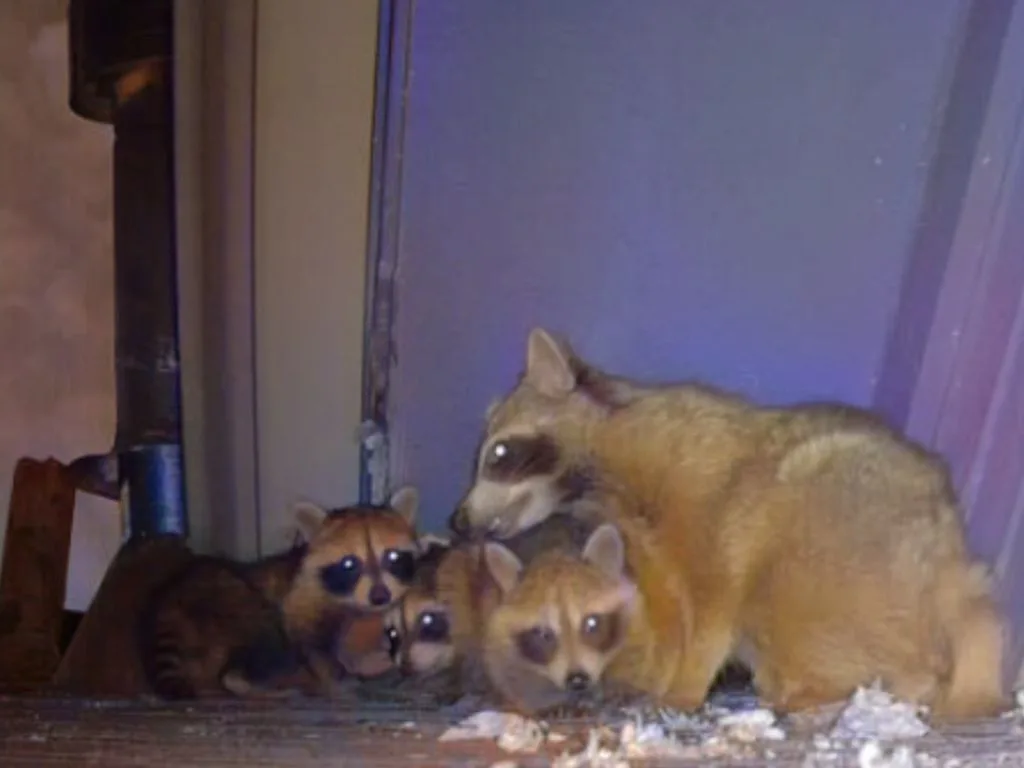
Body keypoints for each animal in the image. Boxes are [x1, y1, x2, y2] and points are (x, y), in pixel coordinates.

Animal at [453, 327, 1008, 721]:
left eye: (499, 455)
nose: (457, 521)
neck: (598, 478)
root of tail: (948, 561)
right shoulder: (651, 543)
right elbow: (669, 608)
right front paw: (659, 673)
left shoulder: (705, 490)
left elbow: (714, 604)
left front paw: (684, 685)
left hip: (833, 537)